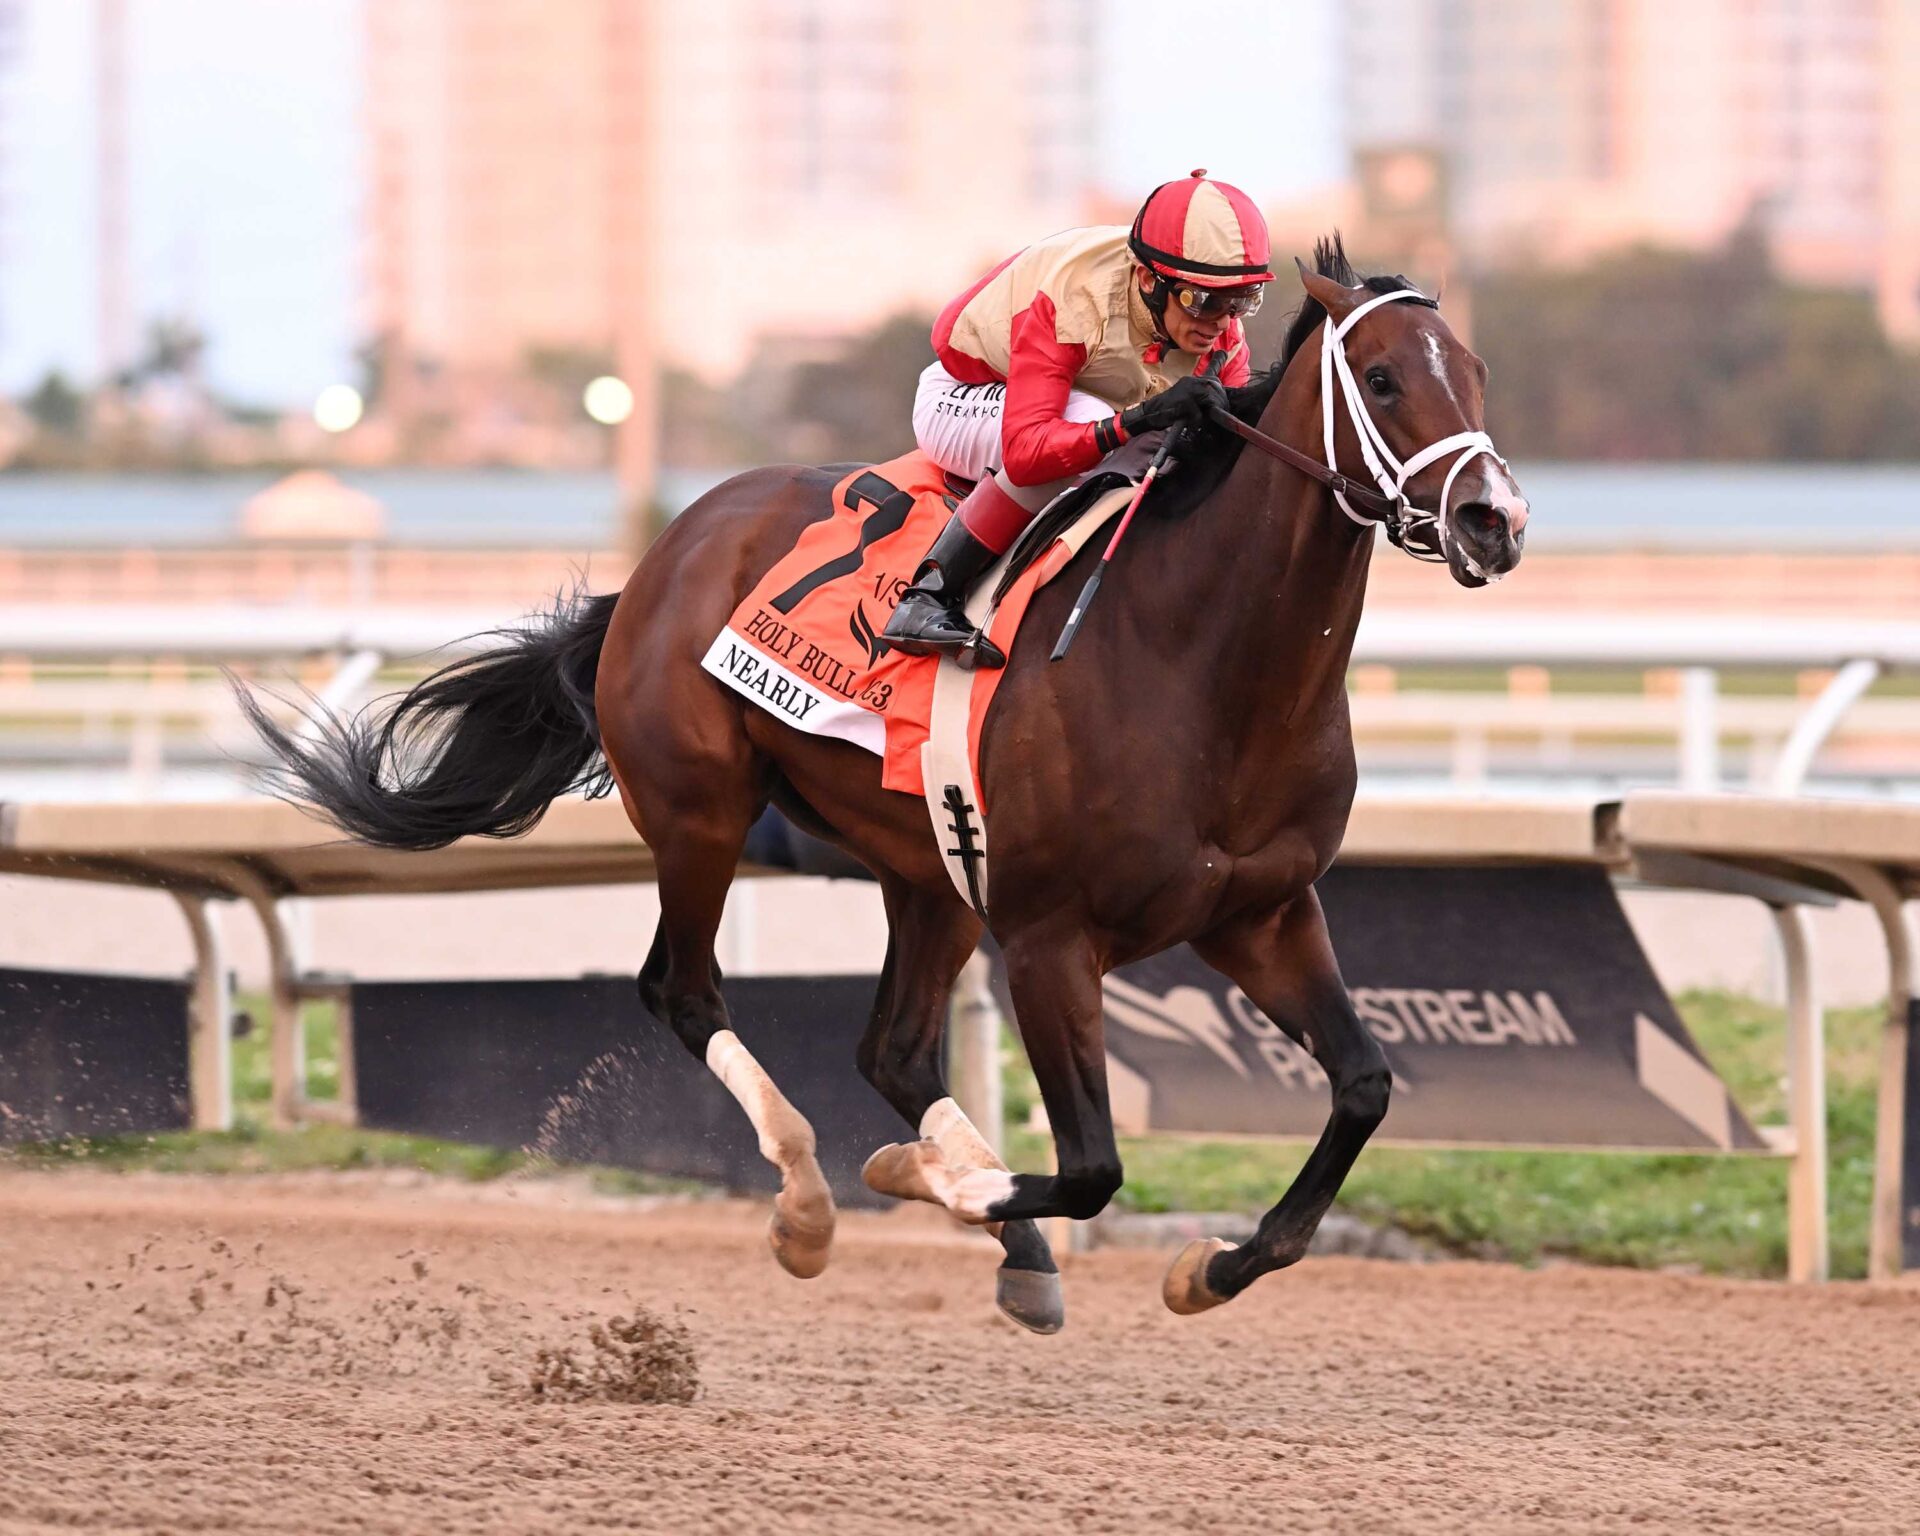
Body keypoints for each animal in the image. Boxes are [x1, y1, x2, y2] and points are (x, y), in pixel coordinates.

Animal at [239, 235, 1529, 1334]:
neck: (1200, 664)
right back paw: (813, 1207)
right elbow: (1092, 1167)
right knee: (683, 991)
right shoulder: (1050, 939)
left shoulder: (1260, 914)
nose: (1495, 519)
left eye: (1474, 372)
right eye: (1381, 377)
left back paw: (1003, 1241)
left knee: (892, 1050)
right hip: (704, 814)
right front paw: (936, 1184)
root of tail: (670, 549)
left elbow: (1362, 1086)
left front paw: (1210, 1265)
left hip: (932, 869)